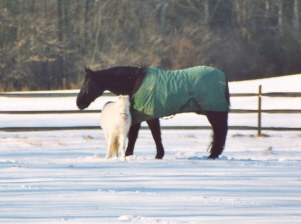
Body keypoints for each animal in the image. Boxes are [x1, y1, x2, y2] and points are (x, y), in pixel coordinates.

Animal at [76, 65, 229, 159]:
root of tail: (223, 75)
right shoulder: (138, 117)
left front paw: (157, 155)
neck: (135, 82)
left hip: (215, 114)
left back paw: (213, 155)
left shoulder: (150, 116)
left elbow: (153, 135)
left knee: (220, 133)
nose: (78, 103)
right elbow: (136, 136)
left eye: (87, 83)